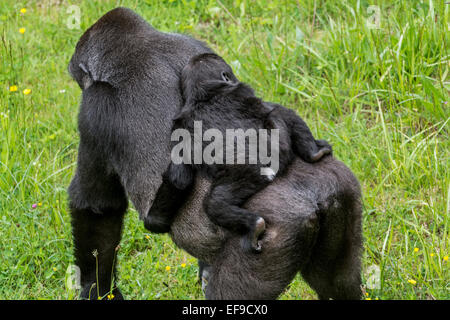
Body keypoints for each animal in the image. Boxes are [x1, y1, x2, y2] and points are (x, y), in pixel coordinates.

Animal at [146, 53, 332, 251]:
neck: (205, 94)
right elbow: (179, 179)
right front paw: (155, 220)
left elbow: (178, 178)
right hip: (246, 174)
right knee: (216, 204)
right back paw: (254, 224)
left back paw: (314, 153)